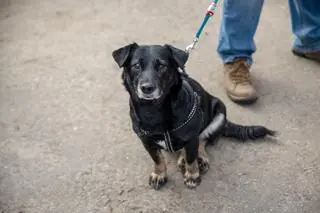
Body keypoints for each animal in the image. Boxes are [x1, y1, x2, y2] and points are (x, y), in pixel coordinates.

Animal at [111, 43, 276, 190]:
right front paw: (159, 174)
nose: (147, 88)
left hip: (219, 113)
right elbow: (157, 159)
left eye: (162, 66)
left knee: (203, 140)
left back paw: (198, 158)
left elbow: (191, 158)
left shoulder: (191, 137)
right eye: (136, 66)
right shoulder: (146, 141)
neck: (154, 109)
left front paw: (192, 176)